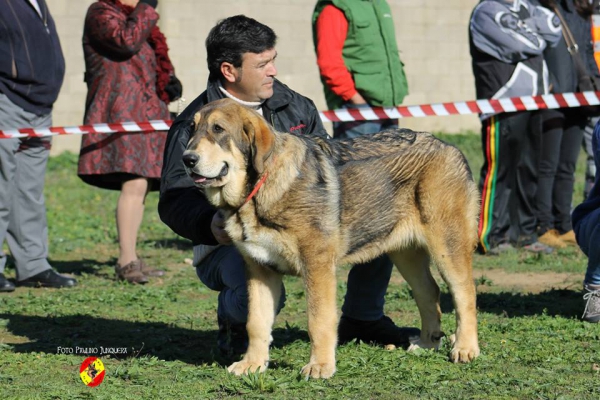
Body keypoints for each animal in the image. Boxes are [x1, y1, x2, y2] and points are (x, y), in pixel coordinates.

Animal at [180, 97, 480, 378]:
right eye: (191, 129)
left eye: (218, 129)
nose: (186, 159)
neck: (259, 188)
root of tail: (449, 147)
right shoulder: (259, 270)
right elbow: (256, 322)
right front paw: (252, 363)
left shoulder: (317, 266)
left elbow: (319, 320)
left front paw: (320, 366)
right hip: (405, 254)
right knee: (429, 292)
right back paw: (428, 344)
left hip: (447, 247)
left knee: (464, 293)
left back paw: (465, 348)